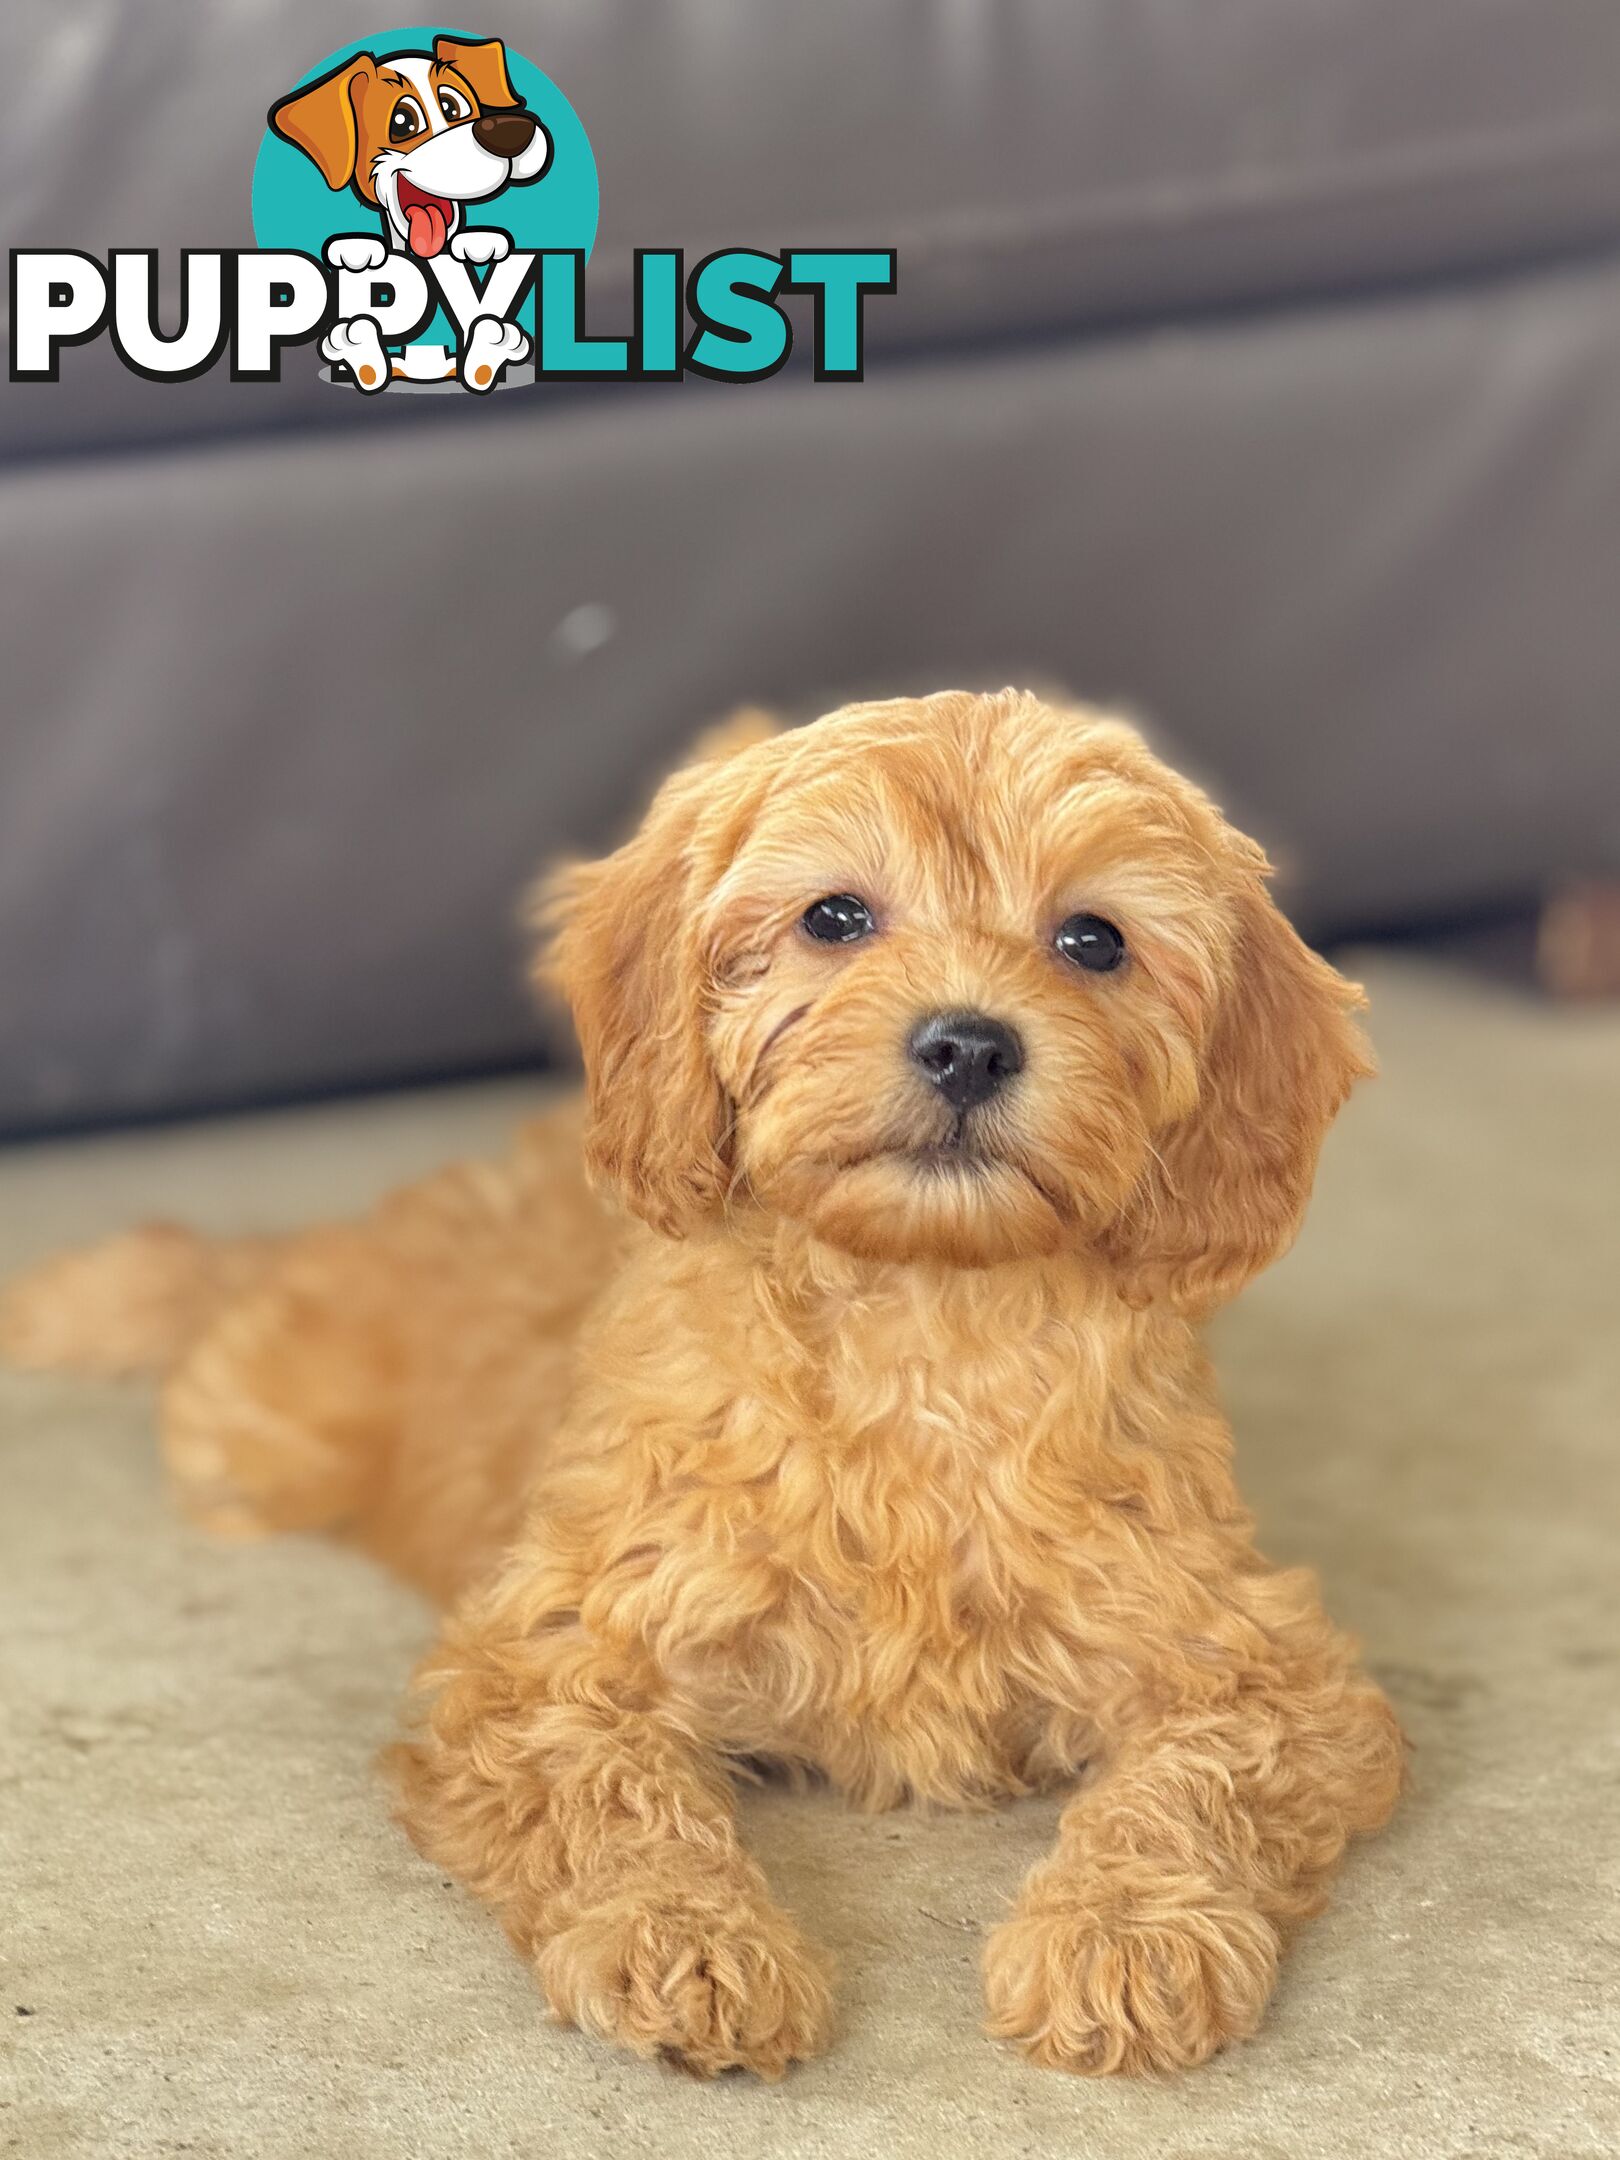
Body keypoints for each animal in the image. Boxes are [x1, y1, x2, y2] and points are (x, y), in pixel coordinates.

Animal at [3, 691, 1408, 2073]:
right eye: (834, 917)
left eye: (1094, 941)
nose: (967, 1044)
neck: (920, 1325)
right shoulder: (557, 1647)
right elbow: (610, 1792)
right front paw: (684, 1935)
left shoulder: (1251, 1658)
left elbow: (1195, 1780)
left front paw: (1127, 1930)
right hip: (267, 1428)